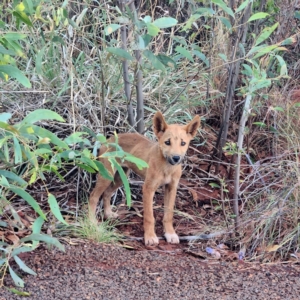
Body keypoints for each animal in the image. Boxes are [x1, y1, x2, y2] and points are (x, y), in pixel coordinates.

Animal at [89, 111, 202, 245]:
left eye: (183, 143)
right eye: (167, 142)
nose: (176, 158)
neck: (167, 168)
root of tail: (108, 140)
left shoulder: (171, 188)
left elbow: (168, 215)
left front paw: (170, 233)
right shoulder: (148, 188)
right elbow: (149, 217)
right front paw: (150, 236)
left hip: (120, 177)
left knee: (106, 193)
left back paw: (108, 214)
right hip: (107, 175)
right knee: (93, 197)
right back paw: (91, 222)